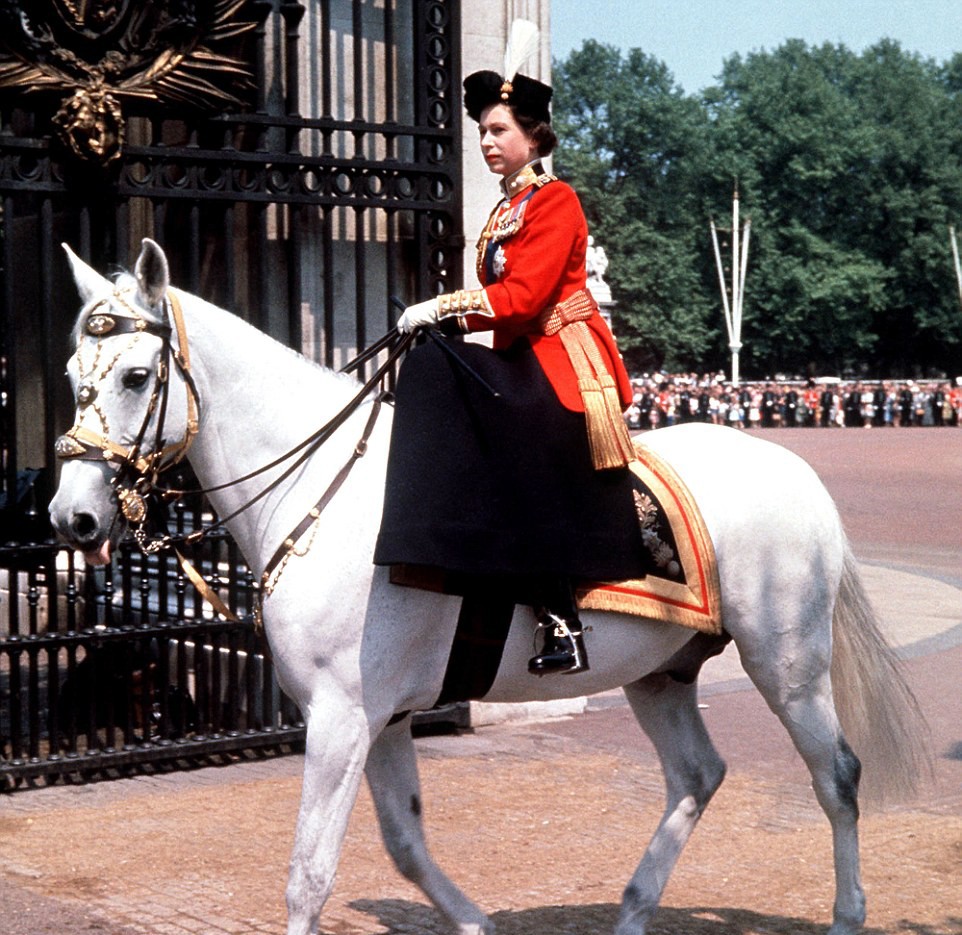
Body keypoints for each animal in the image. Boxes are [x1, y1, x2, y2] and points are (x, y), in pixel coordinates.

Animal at [49, 239, 927, 935]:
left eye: (136, 375)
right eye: (69, 373)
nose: (73, 517)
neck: (317, 489)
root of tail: (795, 468)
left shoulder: (341, 714)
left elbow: (309, 873)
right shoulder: (382, 716)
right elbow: (403, 844)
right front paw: (472, 921)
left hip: (787, 664)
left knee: (836, 775)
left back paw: (847, 915)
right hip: (660, 671)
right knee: (697, 775)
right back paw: (634, 909)